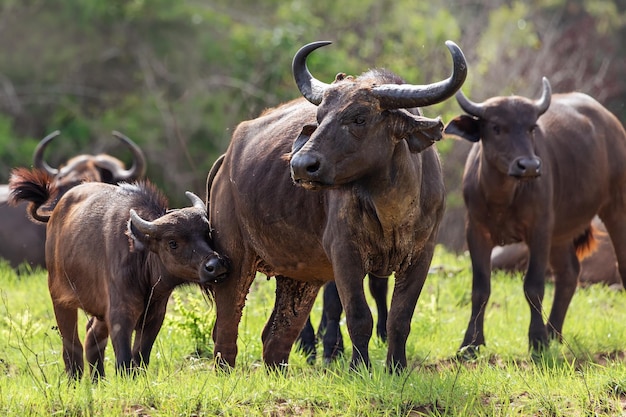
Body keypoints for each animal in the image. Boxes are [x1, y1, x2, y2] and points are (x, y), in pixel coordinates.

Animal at [8, 167, 228, 378]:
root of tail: (54, 215)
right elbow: (124, 359)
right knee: (71, 344)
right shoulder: (120, 315)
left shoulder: (154, 317)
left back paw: (98, 380)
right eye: (172, 242)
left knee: (92, 336)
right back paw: (75, 379)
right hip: (60, 299)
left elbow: (140, 356)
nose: (215, 265)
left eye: (207, 233)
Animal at [207, 39, 466, 370]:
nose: (301, 165)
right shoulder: (345, 254)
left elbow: (400, 318)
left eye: (360, 118)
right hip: (233, 258)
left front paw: (396, 367)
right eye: (319, 118)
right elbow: (358, 317)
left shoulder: (422, 254)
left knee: (276, 334)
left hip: (298, 276)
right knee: (227, 324)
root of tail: (226, 161)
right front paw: (358, 367)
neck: (391, 208)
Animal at [444, 75, 626, 354]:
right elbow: (480, 288)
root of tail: (612, 124)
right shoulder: (476, 231)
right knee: (569, 273)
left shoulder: (539, 229)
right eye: (496, 127)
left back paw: (549, 334)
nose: (529, 166)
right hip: (561, 232)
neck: (502, 198)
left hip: (616, 206)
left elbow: (533, 285)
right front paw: (470, 344)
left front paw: (537, 341)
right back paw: (554, 333)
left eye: (531, 128)